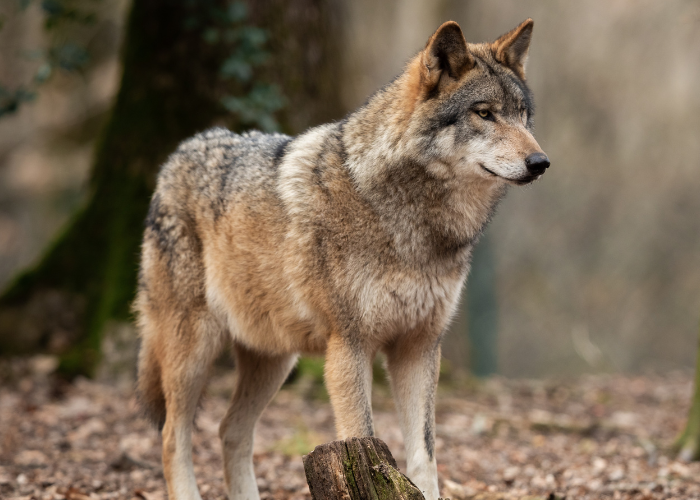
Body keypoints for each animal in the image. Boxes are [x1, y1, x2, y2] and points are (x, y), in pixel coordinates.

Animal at [135, 18, 549, 500]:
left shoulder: (419, 346)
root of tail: (177, 154)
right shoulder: (349, 346)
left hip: (274, 360)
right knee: (172, 436)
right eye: (484, 113)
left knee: (229, 430)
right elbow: (363, 437)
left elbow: (425, 455)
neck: (413, 225)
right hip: (193, 351)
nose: (540, 161)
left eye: (522, 116)